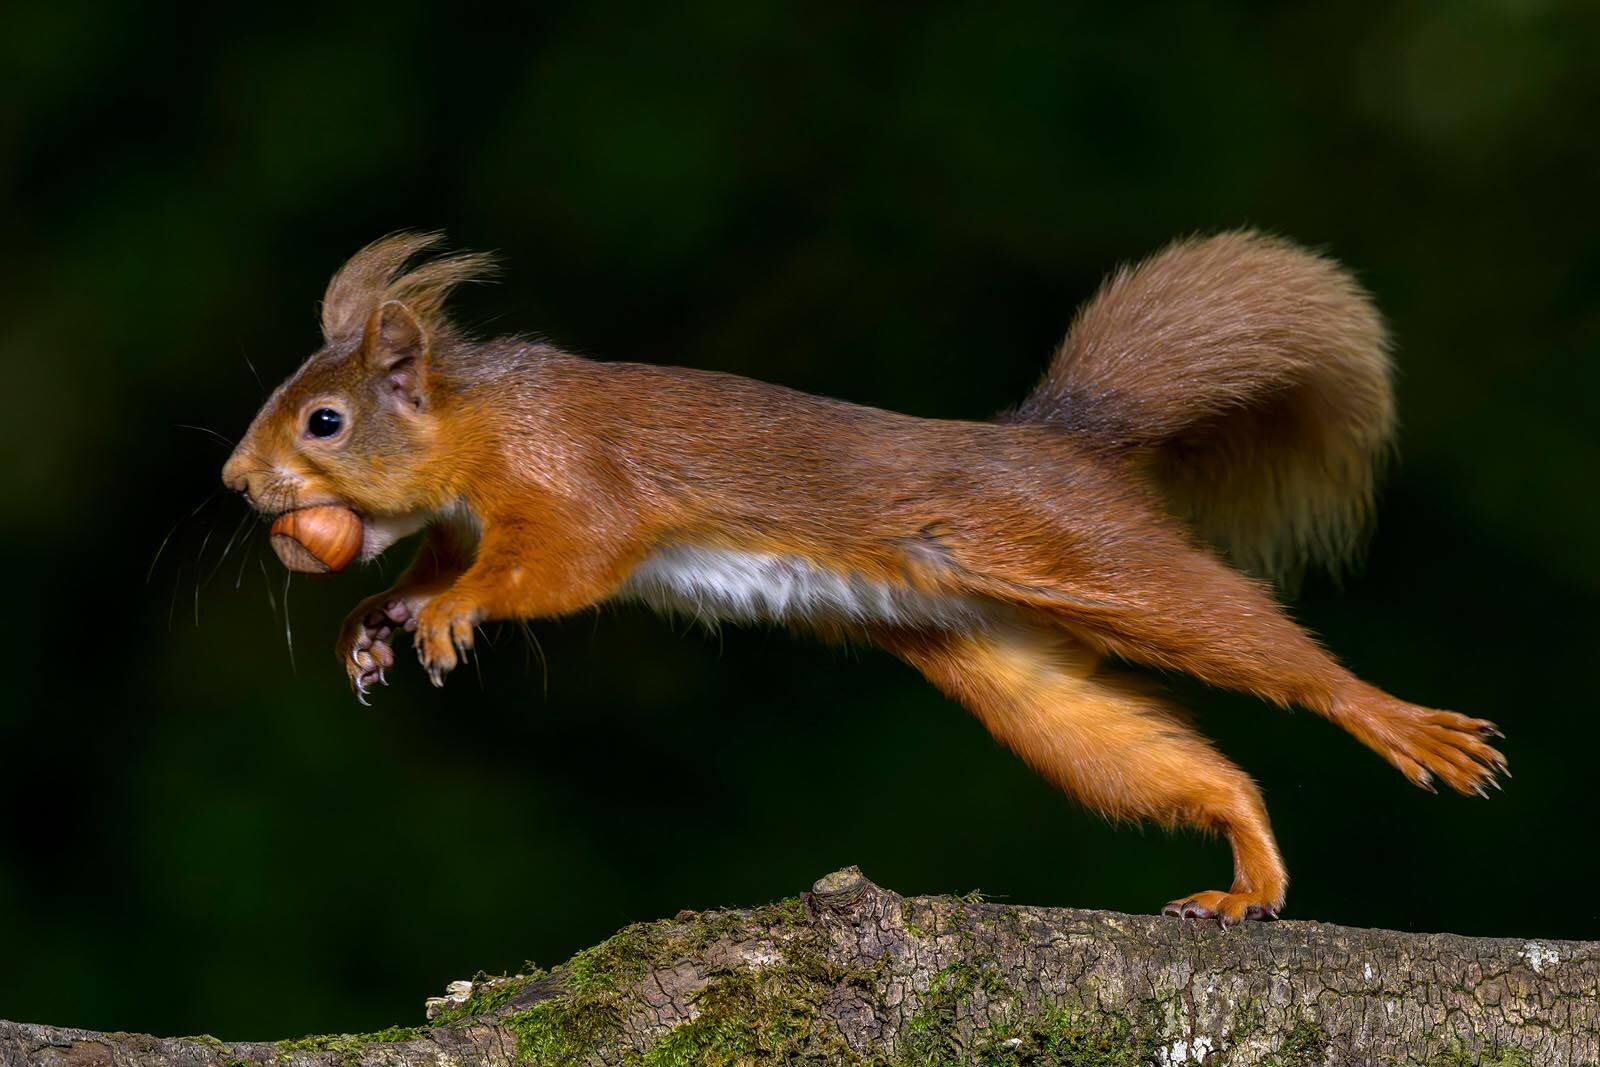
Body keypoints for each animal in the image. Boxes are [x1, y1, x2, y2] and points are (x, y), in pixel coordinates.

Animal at [222, 230, 1506, 924]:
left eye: (325, 420)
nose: (238, 481)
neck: (482, 419)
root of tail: (1059, 445)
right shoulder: (462, 513)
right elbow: (435, 558)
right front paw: (375, 620)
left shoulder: (578, 484)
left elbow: (561, 562)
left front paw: (450, 612)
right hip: (1002, 662)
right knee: (1181, 762)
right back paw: (1245, 871)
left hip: (1091, 558)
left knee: (1264, 648)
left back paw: (1408, 727)